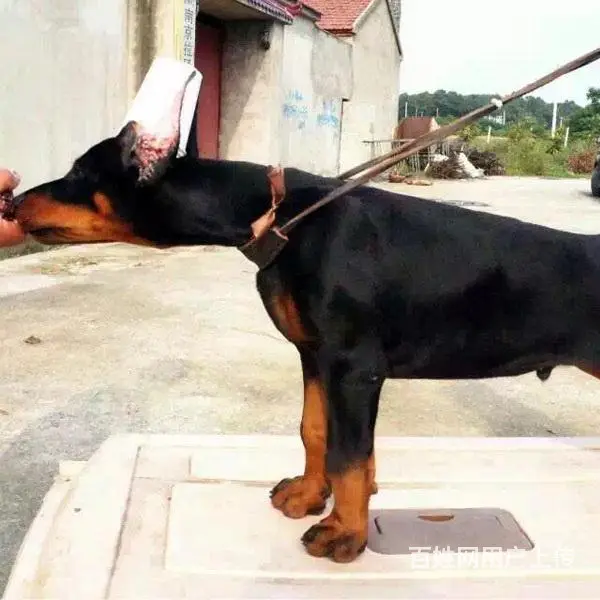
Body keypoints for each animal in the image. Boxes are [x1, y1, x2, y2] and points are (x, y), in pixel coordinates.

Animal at [6, 101, 600, 564]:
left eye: (80, 174)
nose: (11, 201)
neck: (281, 218)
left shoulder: (354, 367)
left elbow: (349, 455)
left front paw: (345, 533)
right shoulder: (315, 356)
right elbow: (316, 431)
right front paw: (310, 495)